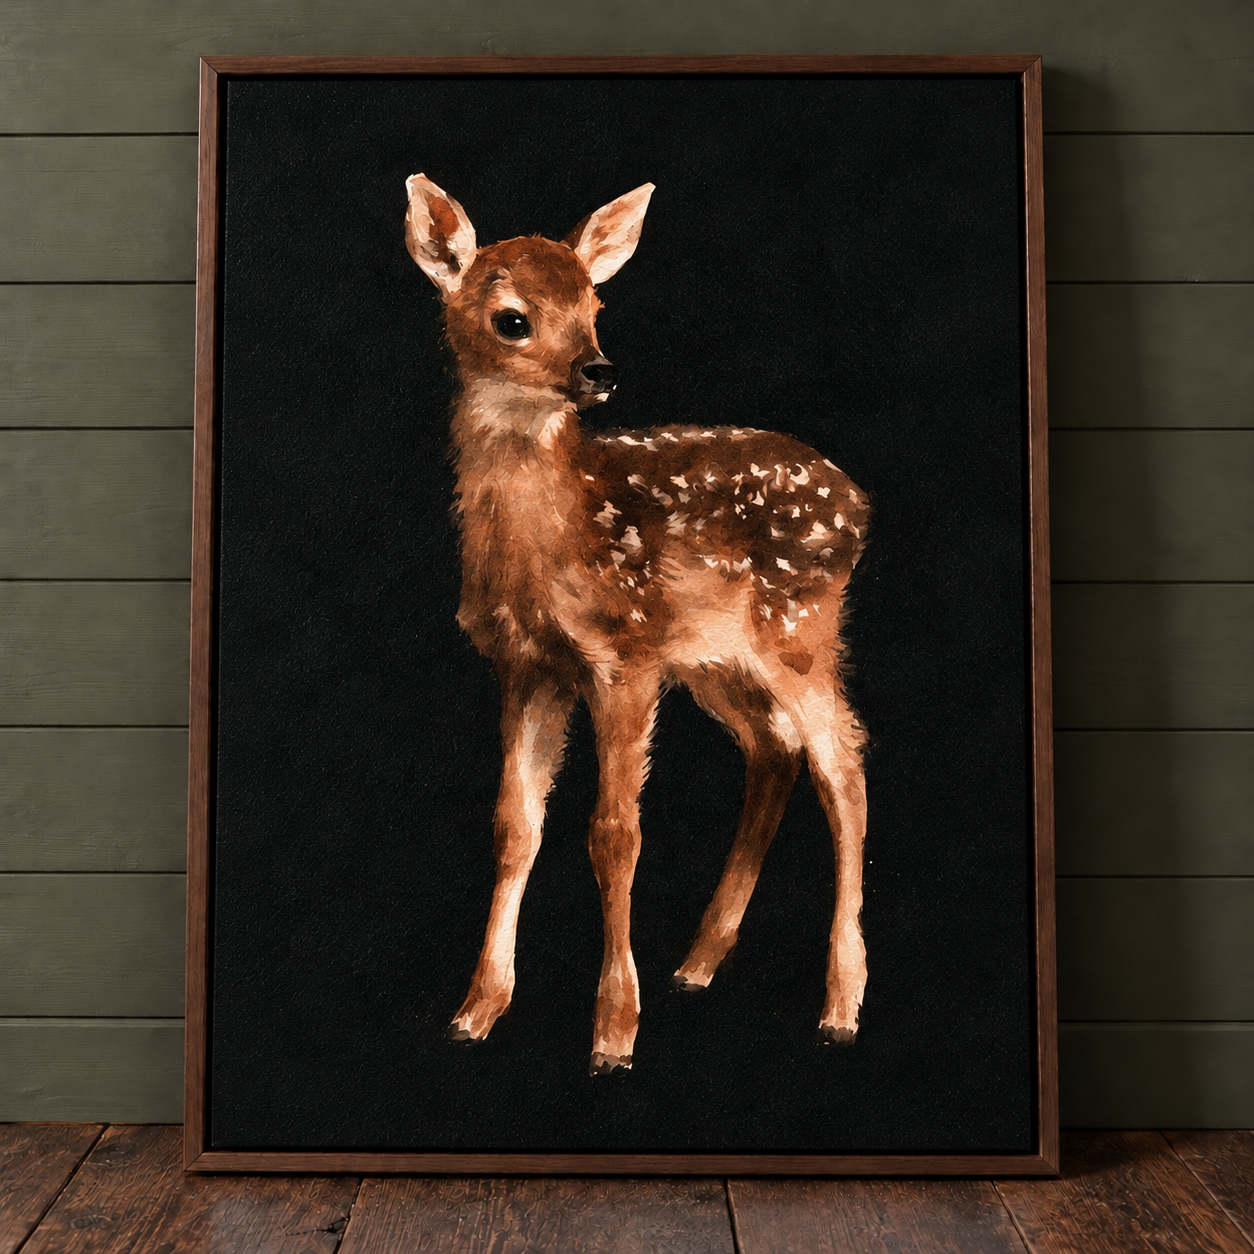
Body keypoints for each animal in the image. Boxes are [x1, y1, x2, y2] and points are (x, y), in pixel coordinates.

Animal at [404, 174, 871, 1076]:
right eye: (511, 318)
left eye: (595, 305)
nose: (598, 369)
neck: (554, 541)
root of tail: (860, 507)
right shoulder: (528, 665)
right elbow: (515, 826)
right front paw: (476, 1010)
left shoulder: (623, 654)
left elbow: (614, 832)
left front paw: (614, 1034)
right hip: (716, 659)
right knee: (777, 749)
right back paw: (697, 963)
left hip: (798, 628)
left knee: (846, 767)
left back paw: (839, 1007)